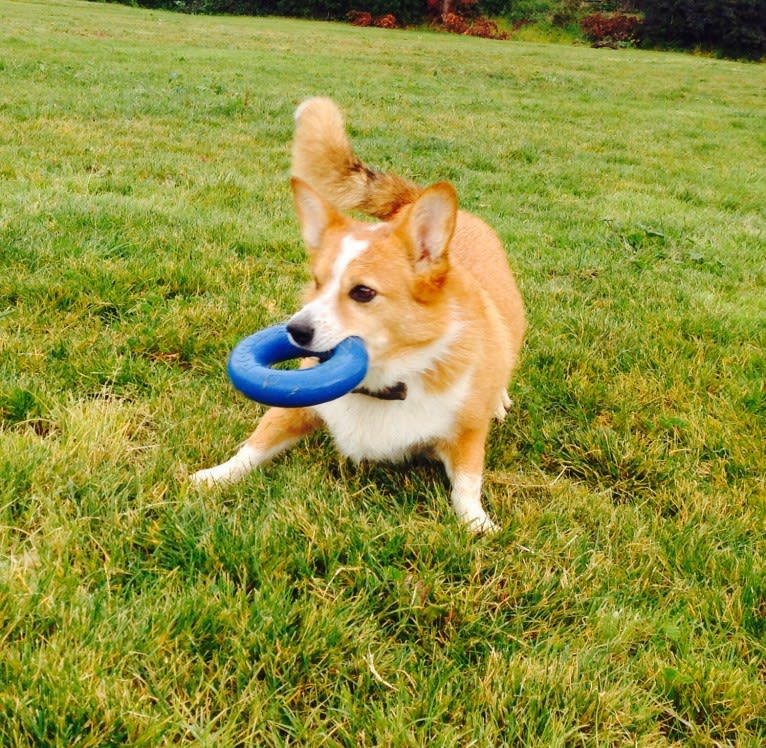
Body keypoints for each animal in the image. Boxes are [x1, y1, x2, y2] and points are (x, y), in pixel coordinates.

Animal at [192, 99, 528, 532]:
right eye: (317, 282)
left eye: (363, 293)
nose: (295, 331)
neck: (384, 382)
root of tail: (413, 199)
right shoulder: (295, 407)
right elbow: (253, 446)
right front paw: (212, 477)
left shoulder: (465, 435)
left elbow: (467, 484)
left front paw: (479, 524)